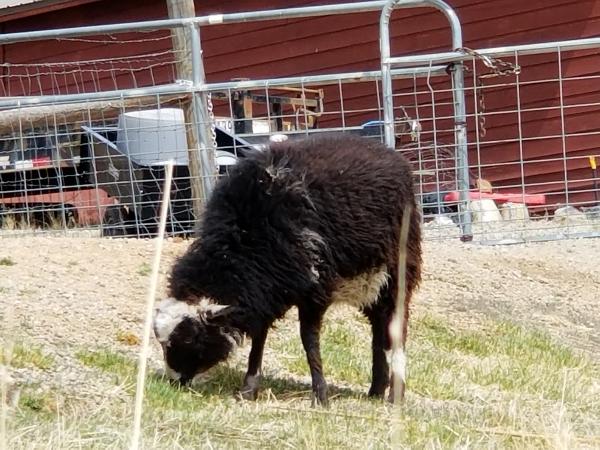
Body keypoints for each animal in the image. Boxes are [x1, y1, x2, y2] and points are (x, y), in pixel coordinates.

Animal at [152, 132, 422, 406]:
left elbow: (308, 340)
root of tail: (386, 151)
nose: (174, 381)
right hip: (370, 285)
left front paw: (320, 396)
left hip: (398, 272)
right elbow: (259, 337)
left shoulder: (314, 288)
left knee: (396, 329)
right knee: (378, 330)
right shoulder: (265, 291)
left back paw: (394, 395)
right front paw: (249, 389)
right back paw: (376, 390)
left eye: (190, 337)